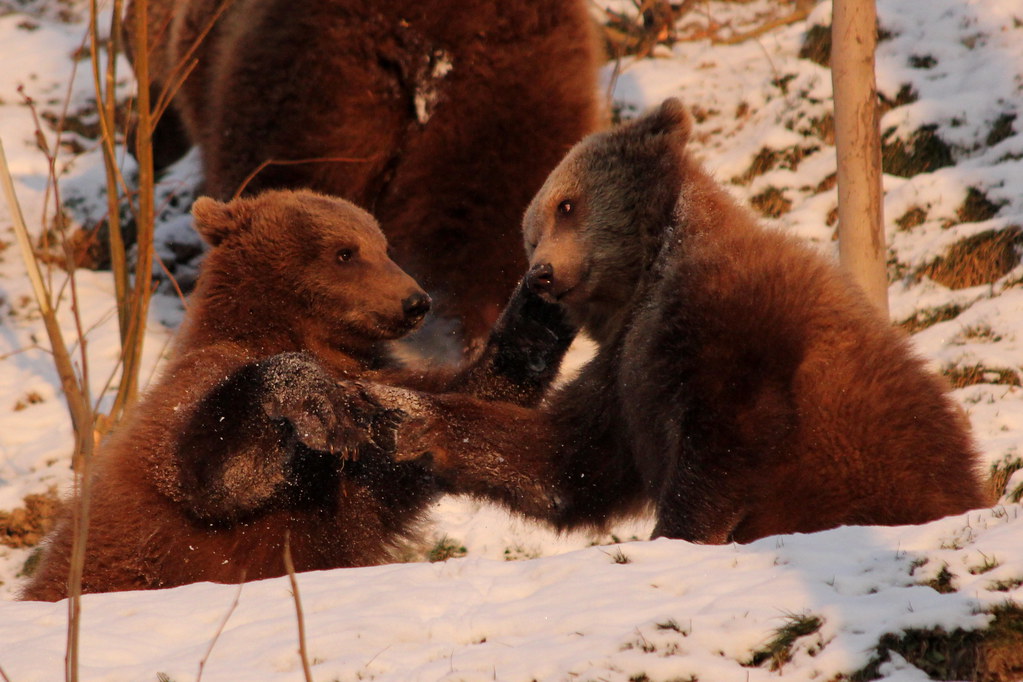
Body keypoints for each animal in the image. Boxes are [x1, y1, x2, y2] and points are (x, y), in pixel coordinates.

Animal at [21, 188, 575, 601]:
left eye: (383, 245)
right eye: (345, 252)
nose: (415, 301)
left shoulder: (379, 416)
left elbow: (456, 407)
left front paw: (537, 311)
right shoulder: (192, 389)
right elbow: (215, 475)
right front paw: (313, 402)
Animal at [364, 98, 990, 544]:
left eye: (567, 205)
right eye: (530, 233)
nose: (540, 274)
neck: (652, 272)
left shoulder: (726, 318)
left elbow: (723, 440)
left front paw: (679, 531)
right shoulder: (625, 371)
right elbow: (573, 458)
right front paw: (406, 416)